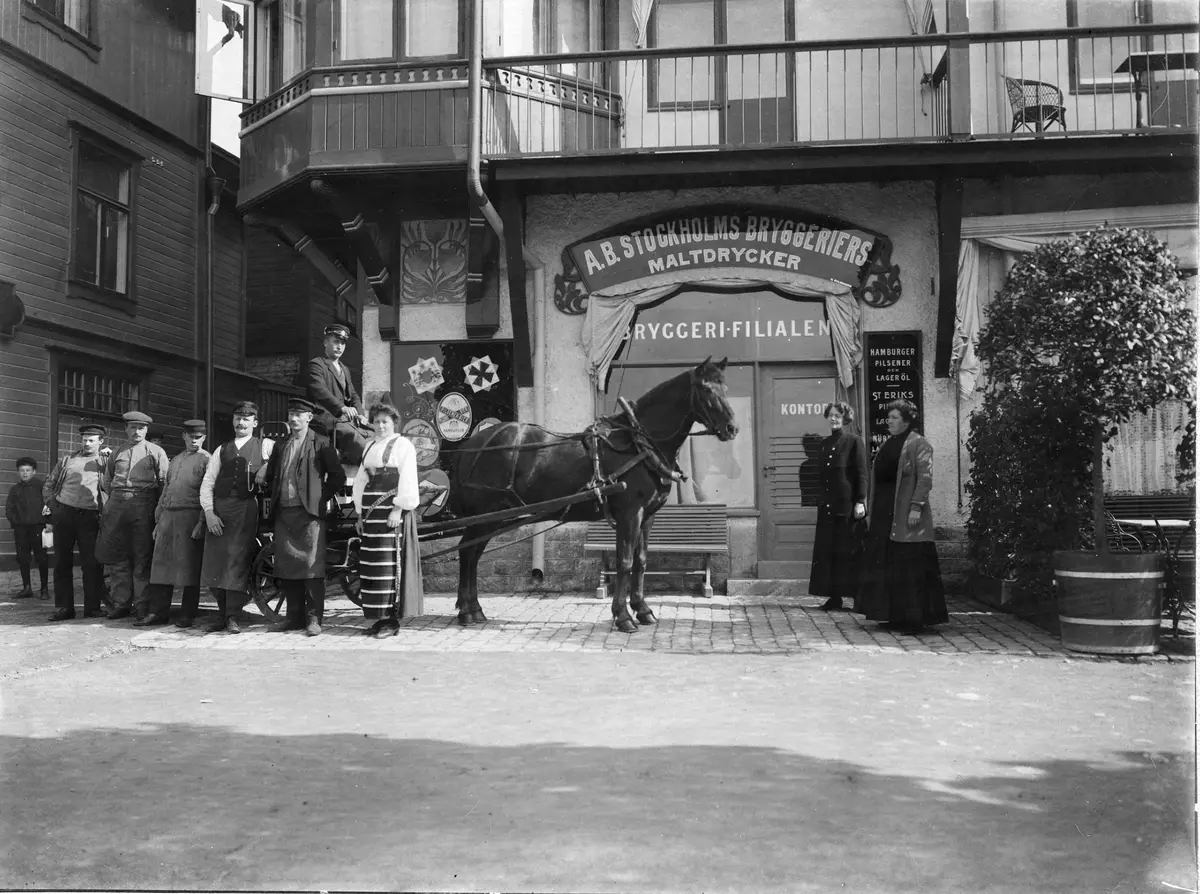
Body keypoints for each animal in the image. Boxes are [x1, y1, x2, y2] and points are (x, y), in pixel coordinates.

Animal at [446, 360, 734, 633]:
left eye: (726, 386)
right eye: (707, 389)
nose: (732, 428)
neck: (639, 444)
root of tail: (472, 443)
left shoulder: (647, 516)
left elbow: (641, 562)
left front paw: (643, 610)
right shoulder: (630, 514)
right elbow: (625, 562)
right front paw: (623, 617)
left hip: (491, 519)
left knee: (472, 554)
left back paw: (474, 609)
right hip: (485, 516)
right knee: (468, 553)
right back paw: (468, 611)